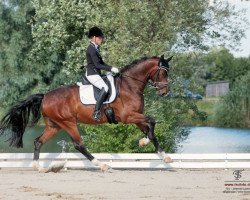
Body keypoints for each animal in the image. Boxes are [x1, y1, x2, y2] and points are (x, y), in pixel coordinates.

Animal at [0, 55, 173, 172]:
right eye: (163, 73)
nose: (164, 93)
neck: (130, 85)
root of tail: (45, 96)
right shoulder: (127, 116)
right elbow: (152, 120)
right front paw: (143, 142)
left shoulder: (136, 117)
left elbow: (151, 130)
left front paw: (164, 156)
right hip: (68, 122)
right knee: (79, 144)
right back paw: (102, 165)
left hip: (54, 125)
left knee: (38, 141)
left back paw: (38, 167)